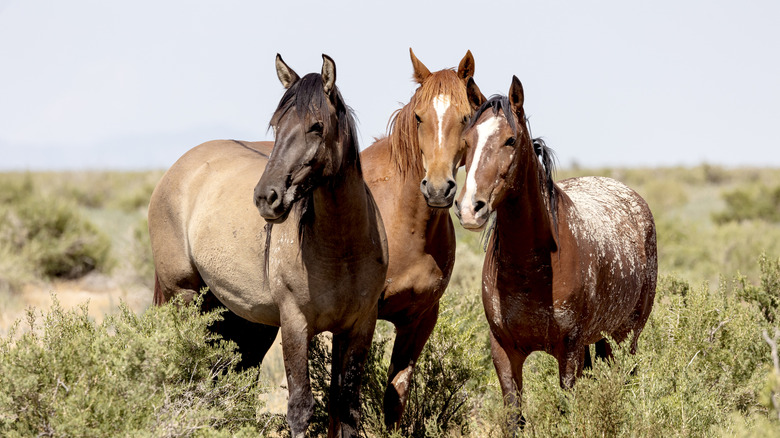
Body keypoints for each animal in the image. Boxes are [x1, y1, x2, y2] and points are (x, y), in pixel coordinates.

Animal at [148, 54, 389, 438]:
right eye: (277, 125)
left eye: (316, 126)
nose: (266, 197)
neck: (342, 250)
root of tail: (178, 169)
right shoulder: (295, 323)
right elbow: (301, 407)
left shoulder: (360, 326)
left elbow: (347, 407)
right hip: (182, 296)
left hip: (241, 317)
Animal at [455, 76, 657, 427]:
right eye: (466, 141)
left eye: (510, 140)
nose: (469, 209)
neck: (530, 269)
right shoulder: (504, 352)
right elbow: (514, 417)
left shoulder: (569, 350)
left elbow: (566, 411)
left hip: (626, 336)